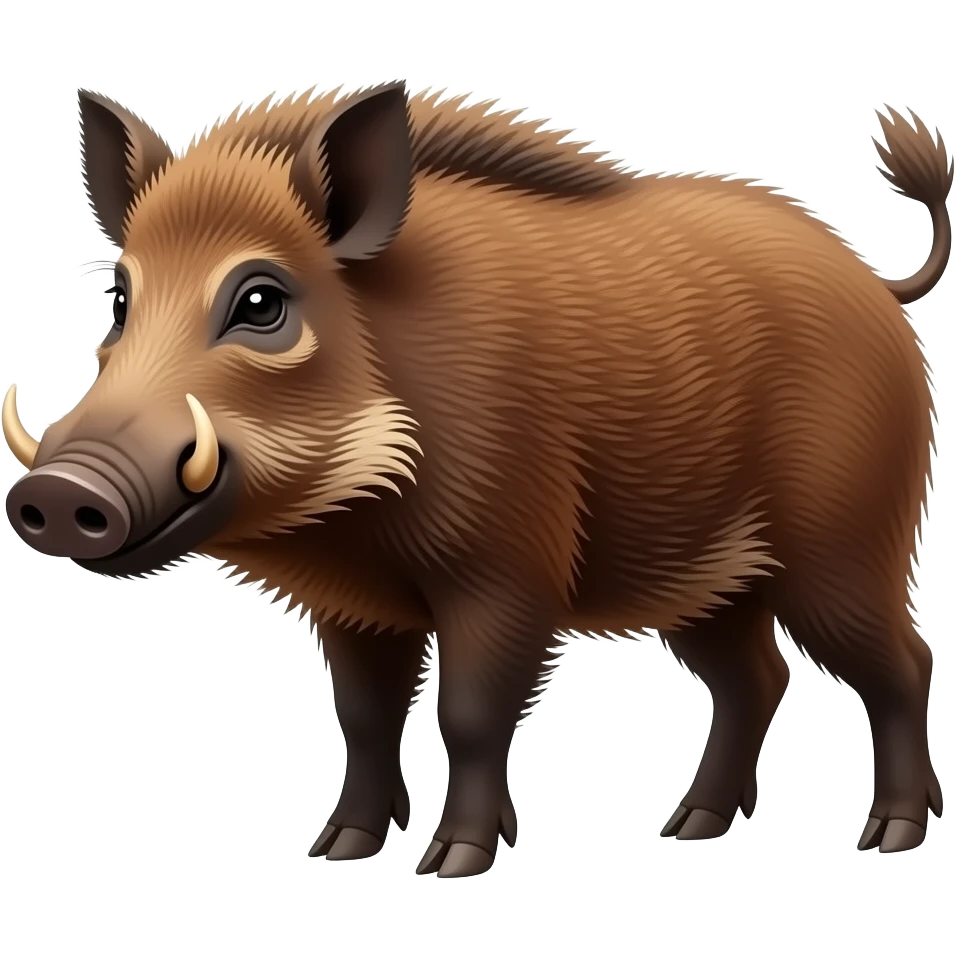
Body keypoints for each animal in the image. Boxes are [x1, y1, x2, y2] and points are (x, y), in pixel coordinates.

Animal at [2, 83, 948, 876]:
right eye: (120, 300)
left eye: (262, 301)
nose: (56, 493)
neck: (355, 512)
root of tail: (879, 284)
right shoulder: (355, 606)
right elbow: (365, 716)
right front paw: (338, 850)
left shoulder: (508, 572)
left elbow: (469, 712)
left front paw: (452, 863)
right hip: (706, 580)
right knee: (754, 677)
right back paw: (686, 828)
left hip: (844, 546)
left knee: (900, 661)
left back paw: (889, 835)